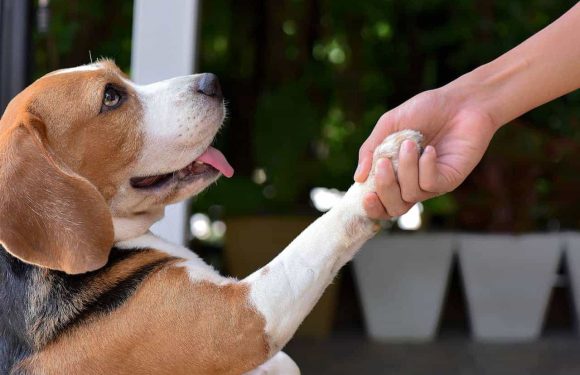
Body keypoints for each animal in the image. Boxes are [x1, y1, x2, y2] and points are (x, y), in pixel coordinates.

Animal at [0, 60, 420, 374]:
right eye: (111, 97)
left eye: (120, 75)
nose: (212, 82)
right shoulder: (243, 318)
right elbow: (318, 236)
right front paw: (382, 167)